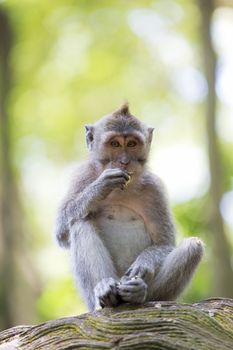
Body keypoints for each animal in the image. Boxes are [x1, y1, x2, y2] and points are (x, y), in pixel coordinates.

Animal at [54, 102, 204, 310]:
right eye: (115, 144)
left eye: (132, 144)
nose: (124, 162)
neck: (121, 190)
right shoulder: (82, 176)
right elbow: (61, 230)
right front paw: (101, 186)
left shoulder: (154, 189)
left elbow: (164, 243)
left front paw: (144, 264)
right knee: (79, 222)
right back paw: (105, 293)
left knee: (194, 246)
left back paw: (138, 293)